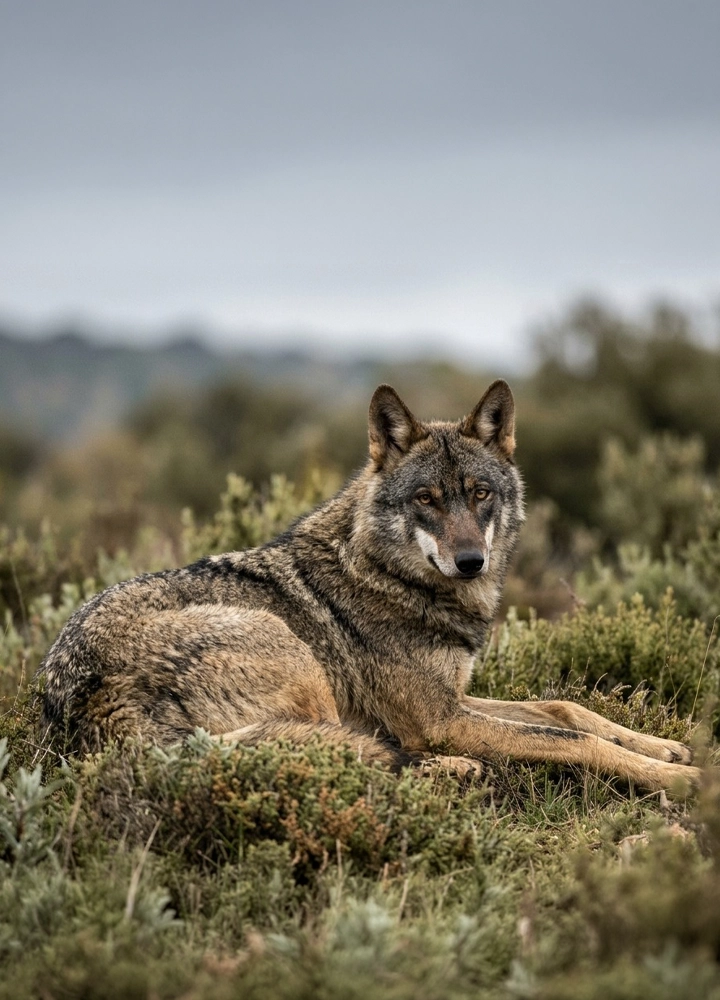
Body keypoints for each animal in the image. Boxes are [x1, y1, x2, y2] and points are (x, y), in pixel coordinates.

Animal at [40, 380, 699, 791]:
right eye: (426, 499)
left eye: (480, 493)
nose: (471, 561)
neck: (393, 577)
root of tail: (82, 701)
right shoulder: (439, 719)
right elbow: (568, 739)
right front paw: (678, 779)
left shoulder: (452, 699)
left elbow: (564, 709)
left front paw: (662, 747)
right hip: (294, 656)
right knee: (349, 761)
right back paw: (458, 770)